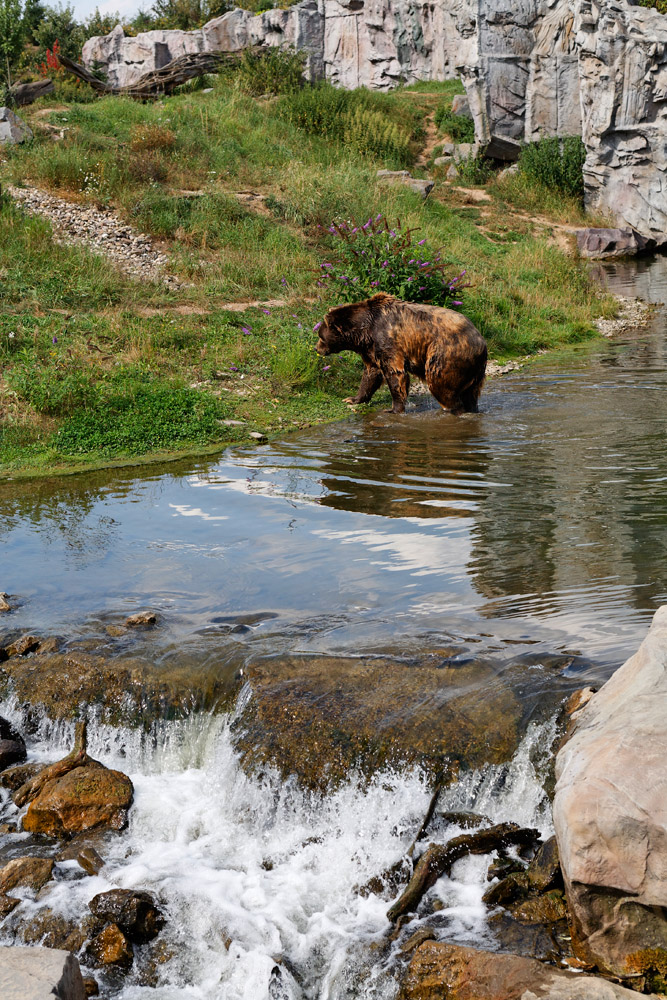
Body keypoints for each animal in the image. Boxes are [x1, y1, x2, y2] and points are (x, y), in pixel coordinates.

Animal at [316, 292, 488, 412]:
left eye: (320, 335)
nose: (316, 348)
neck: (365, 332)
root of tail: (481, 341)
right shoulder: (371, 350)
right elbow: (371, 374)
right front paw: (352, 398)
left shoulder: (388, 339)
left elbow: (395, 374)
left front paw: (393, 409)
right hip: (475, 371)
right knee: (471, 395)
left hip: (446, 354)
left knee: (440, 385)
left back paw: (451, 409)